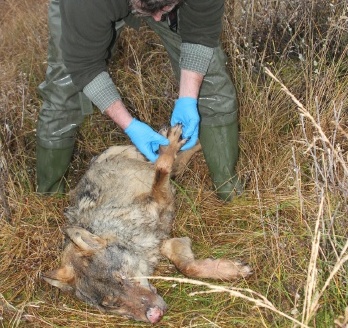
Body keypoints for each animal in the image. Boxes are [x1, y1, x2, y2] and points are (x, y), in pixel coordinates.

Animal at [42, 125, 250, 322]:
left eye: (122, 277)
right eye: (112, 304)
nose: (155, 316)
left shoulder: (158, 200)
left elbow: (162, 168)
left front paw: (171, 144)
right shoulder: (165, 241)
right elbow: (187, 267)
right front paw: (230, 270)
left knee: (168, 163)